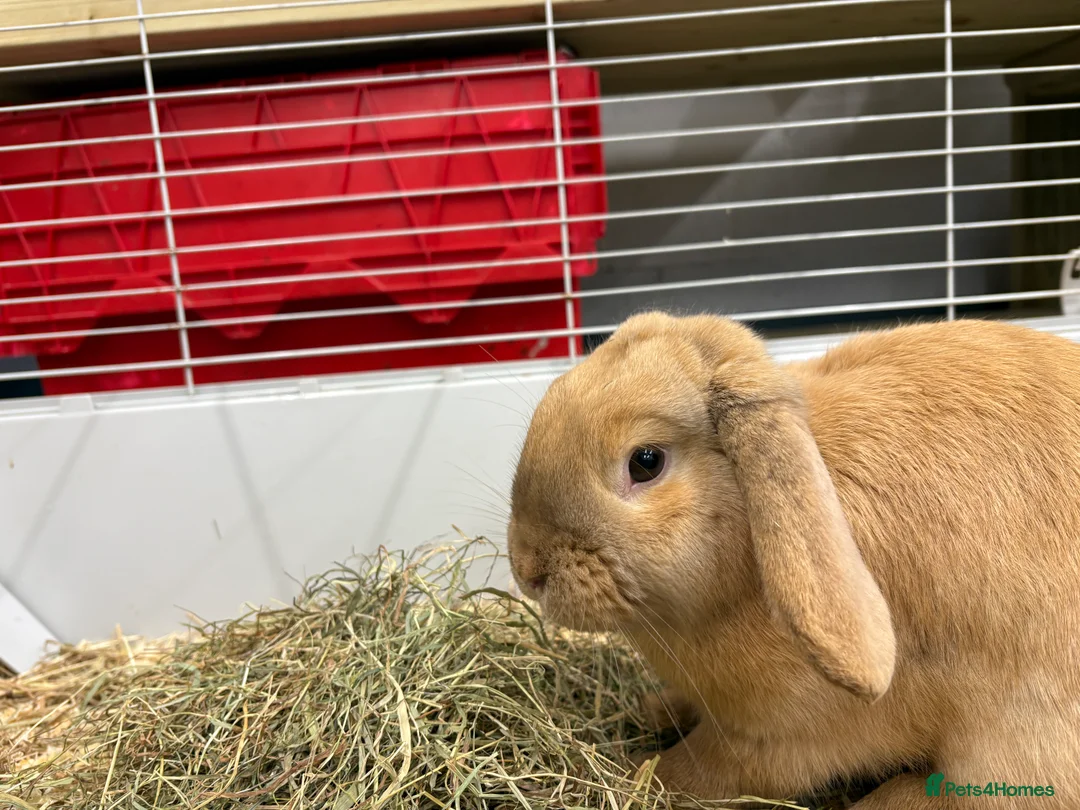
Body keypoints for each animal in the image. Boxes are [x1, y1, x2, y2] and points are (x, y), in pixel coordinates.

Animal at [506, 311, 1080, 808]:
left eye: (645, 462)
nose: (527, 569)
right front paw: (653, 709)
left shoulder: (776, 739)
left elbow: (697, 769)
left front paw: (632, 776)